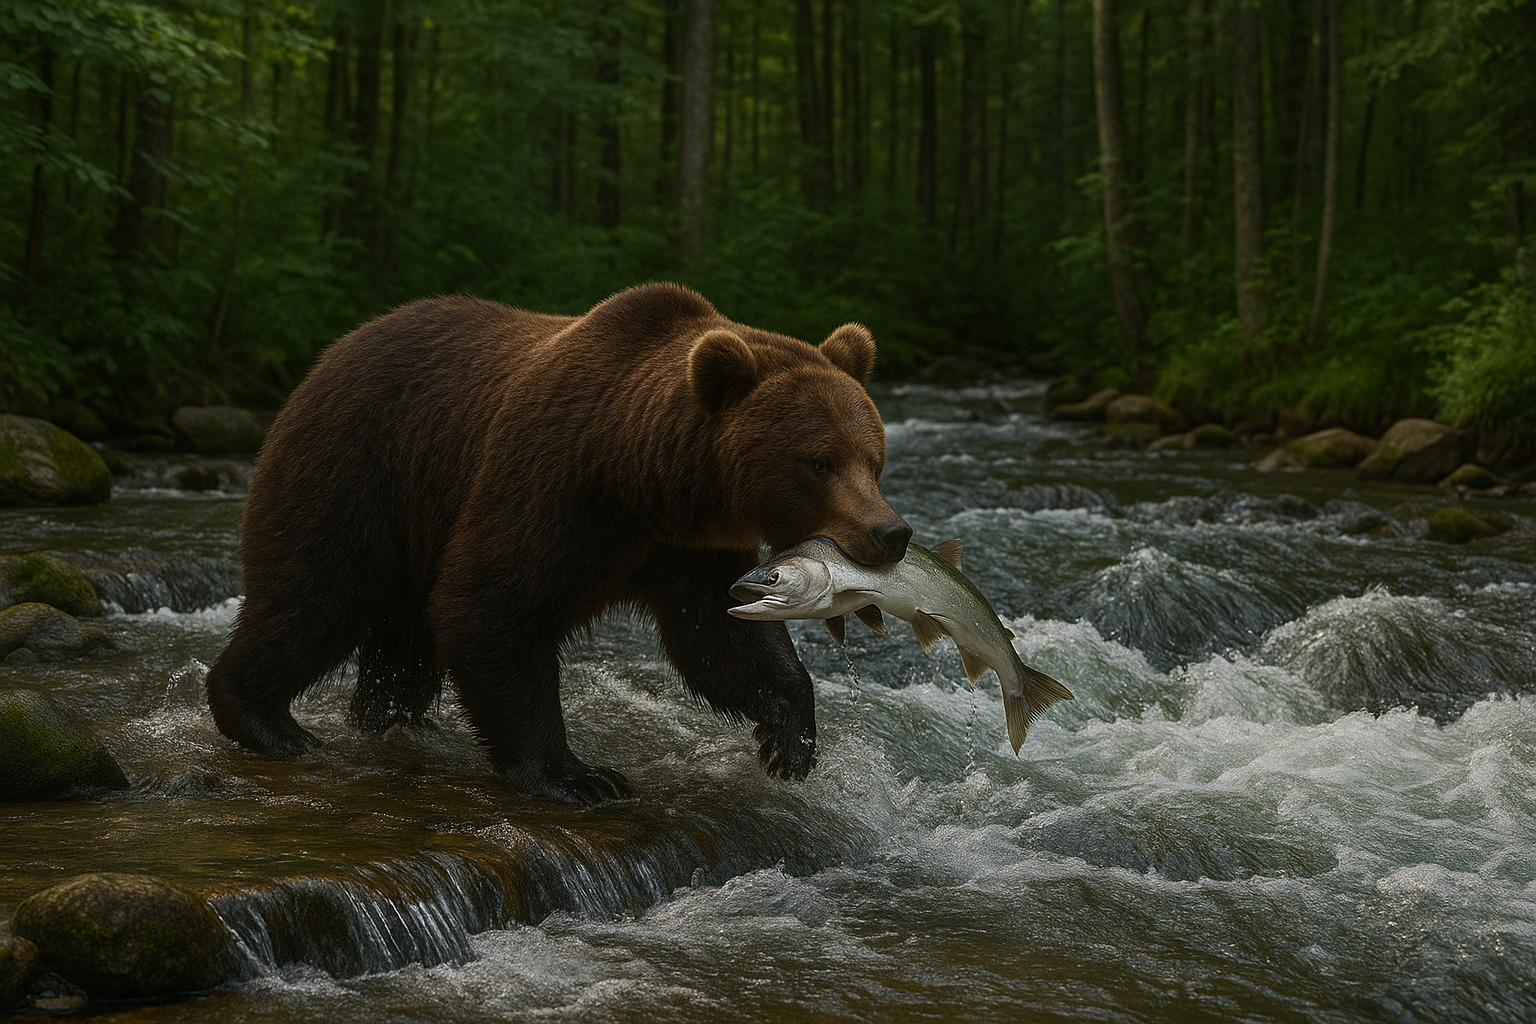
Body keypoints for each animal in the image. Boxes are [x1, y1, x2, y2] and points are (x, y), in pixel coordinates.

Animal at [205, 282, 910, 806]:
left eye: (872, 457)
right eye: (818, 461)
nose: (891, 532)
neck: (638, 479)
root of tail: (328, 356)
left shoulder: (687, 547)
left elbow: (721, 634)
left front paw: (789, 741)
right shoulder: (552, 484)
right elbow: (492, 606)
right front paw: (579, 776)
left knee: (402, 642)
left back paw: (393, 722)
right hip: (356, 471)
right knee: (319, 594)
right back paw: (269, 722)